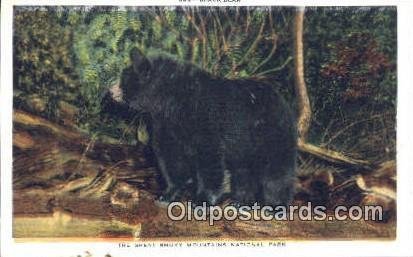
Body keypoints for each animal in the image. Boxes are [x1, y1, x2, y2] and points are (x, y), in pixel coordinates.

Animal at [103, 47, 296, 205]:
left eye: (124, 77)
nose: (110, 90)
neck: (171, 102)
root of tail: (281, 99)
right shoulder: (166, 124)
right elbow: (171, 158)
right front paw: (167, 194)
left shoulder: (205, 120)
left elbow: (209, 159)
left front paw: (202, 200)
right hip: (244, 145)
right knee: (243, 170)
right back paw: (240, 202)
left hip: (272, 132)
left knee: (277, 168)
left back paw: (275, 204)